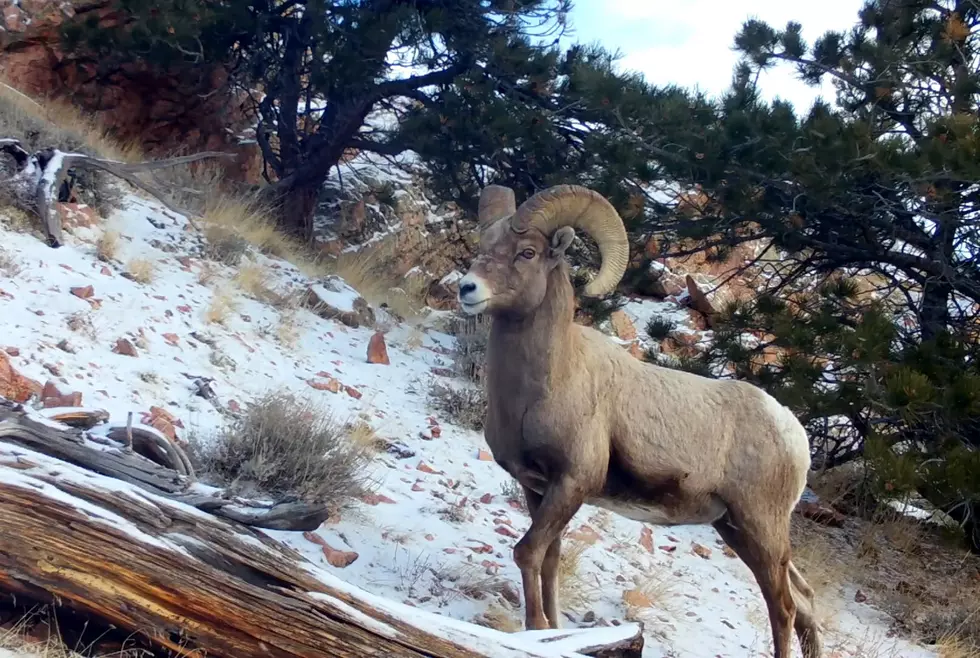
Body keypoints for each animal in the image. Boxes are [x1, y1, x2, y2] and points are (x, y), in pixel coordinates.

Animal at [458, 183, 820, 656]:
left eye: (527, 252)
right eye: (484, 245)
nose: (467, 288)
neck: (547, 382)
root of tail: (793, 433)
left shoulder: (572, 483)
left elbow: (528, 553)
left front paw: (535, 629)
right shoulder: (538, 488)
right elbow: (550, 559)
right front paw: (555, 629)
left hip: (761, 529)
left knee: (783, 607)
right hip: (736, 529)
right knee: (805, 601)